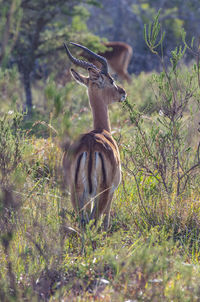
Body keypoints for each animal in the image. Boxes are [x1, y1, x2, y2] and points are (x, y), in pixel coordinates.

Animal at [63, 42, 126, 230]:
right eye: (111, 80)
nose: (123, 93)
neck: (100, 130)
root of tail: (90, 147)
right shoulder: (112, 190)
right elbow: (106, 220)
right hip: (101, 192)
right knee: (95, 220)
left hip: (77, 193)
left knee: (83, 222)